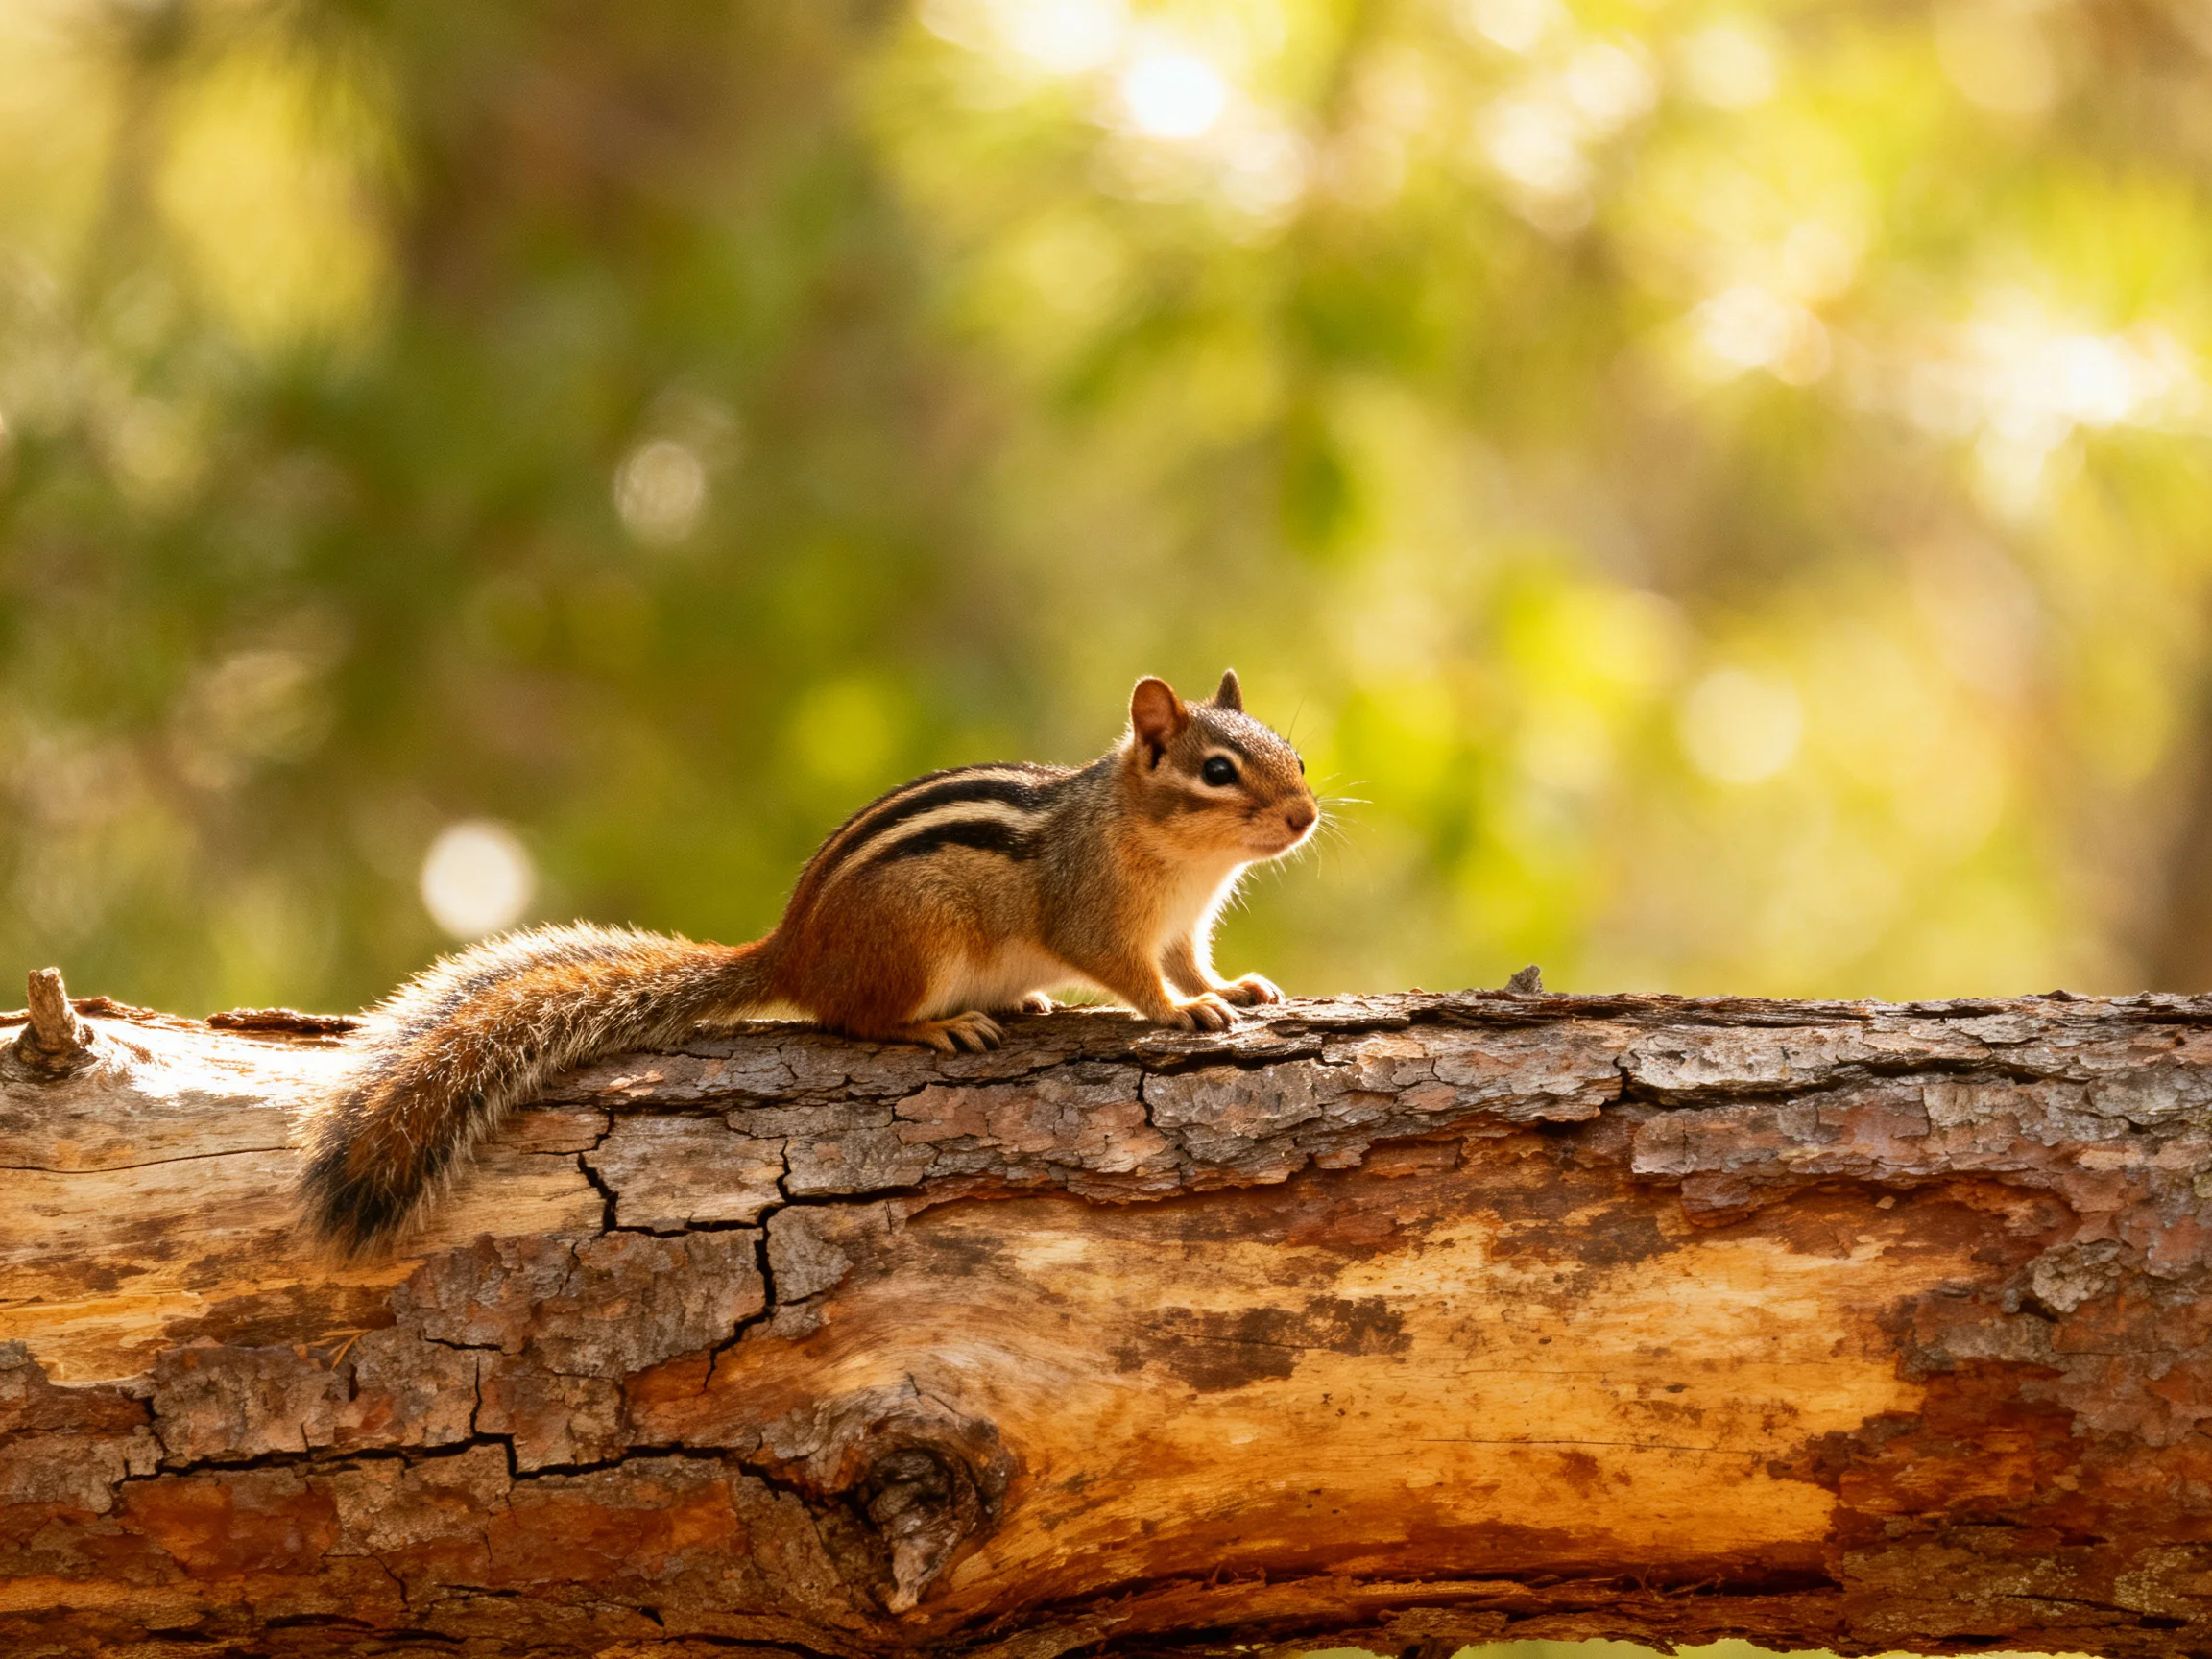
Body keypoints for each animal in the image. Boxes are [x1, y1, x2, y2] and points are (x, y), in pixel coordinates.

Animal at [300, 670, 1320, 1252]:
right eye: (1218, 771)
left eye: (1298, 756)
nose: (1308, 815)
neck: (1178, 858)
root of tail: (791, 949)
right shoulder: (1097, 919)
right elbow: (1135, 977)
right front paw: (1179, 1013)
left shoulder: (1185, 927)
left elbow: (1194, 964)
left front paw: (1234, 988)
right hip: (918, 944)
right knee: (855, 1019)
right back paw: (941, 1027)